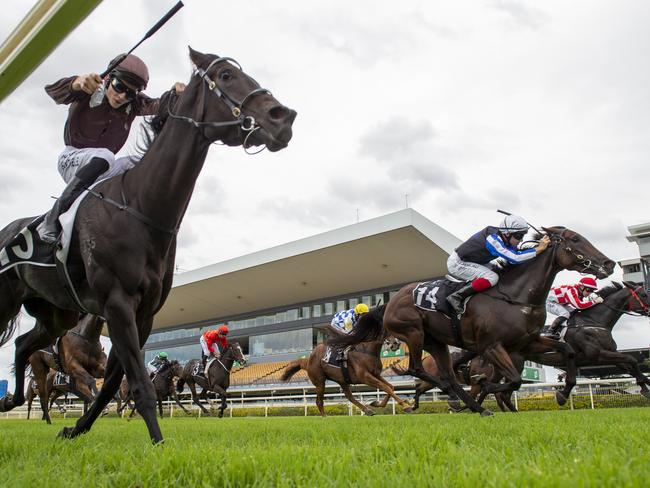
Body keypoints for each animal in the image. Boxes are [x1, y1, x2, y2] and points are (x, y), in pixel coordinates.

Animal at [280, 304, 410, 416]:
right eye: (385, 327)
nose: (396, 344)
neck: (366, 350)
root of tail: (308, 360)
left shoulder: (376, 374)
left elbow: (390, 387)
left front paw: (376, 403)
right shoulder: (365, 376)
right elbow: (385, 387)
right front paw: (406, 406)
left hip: (341, 379)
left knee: (349, 396)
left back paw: (368, 410)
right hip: (320, 381)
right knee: (319, 401)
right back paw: (325, 417)